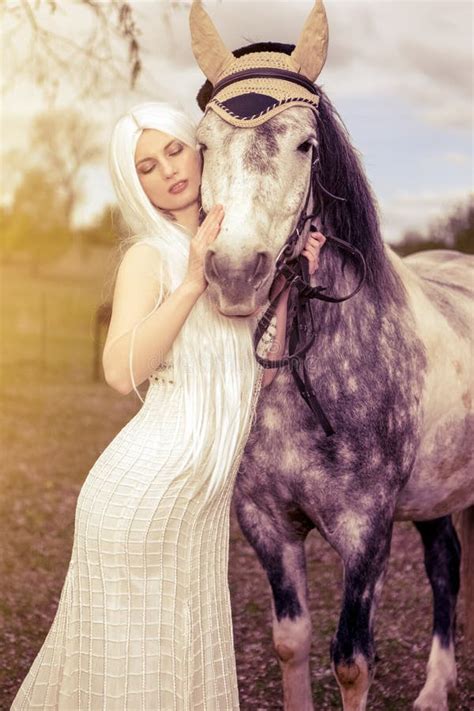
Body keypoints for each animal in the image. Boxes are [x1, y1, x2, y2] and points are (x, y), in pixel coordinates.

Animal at [190, 1, 474, 711]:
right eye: (202, 144)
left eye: (305, 145)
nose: (235, 273)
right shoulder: (267, 523)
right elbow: (291, 641)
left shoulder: (366, 531)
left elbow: (350, 659)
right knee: (446, 564)